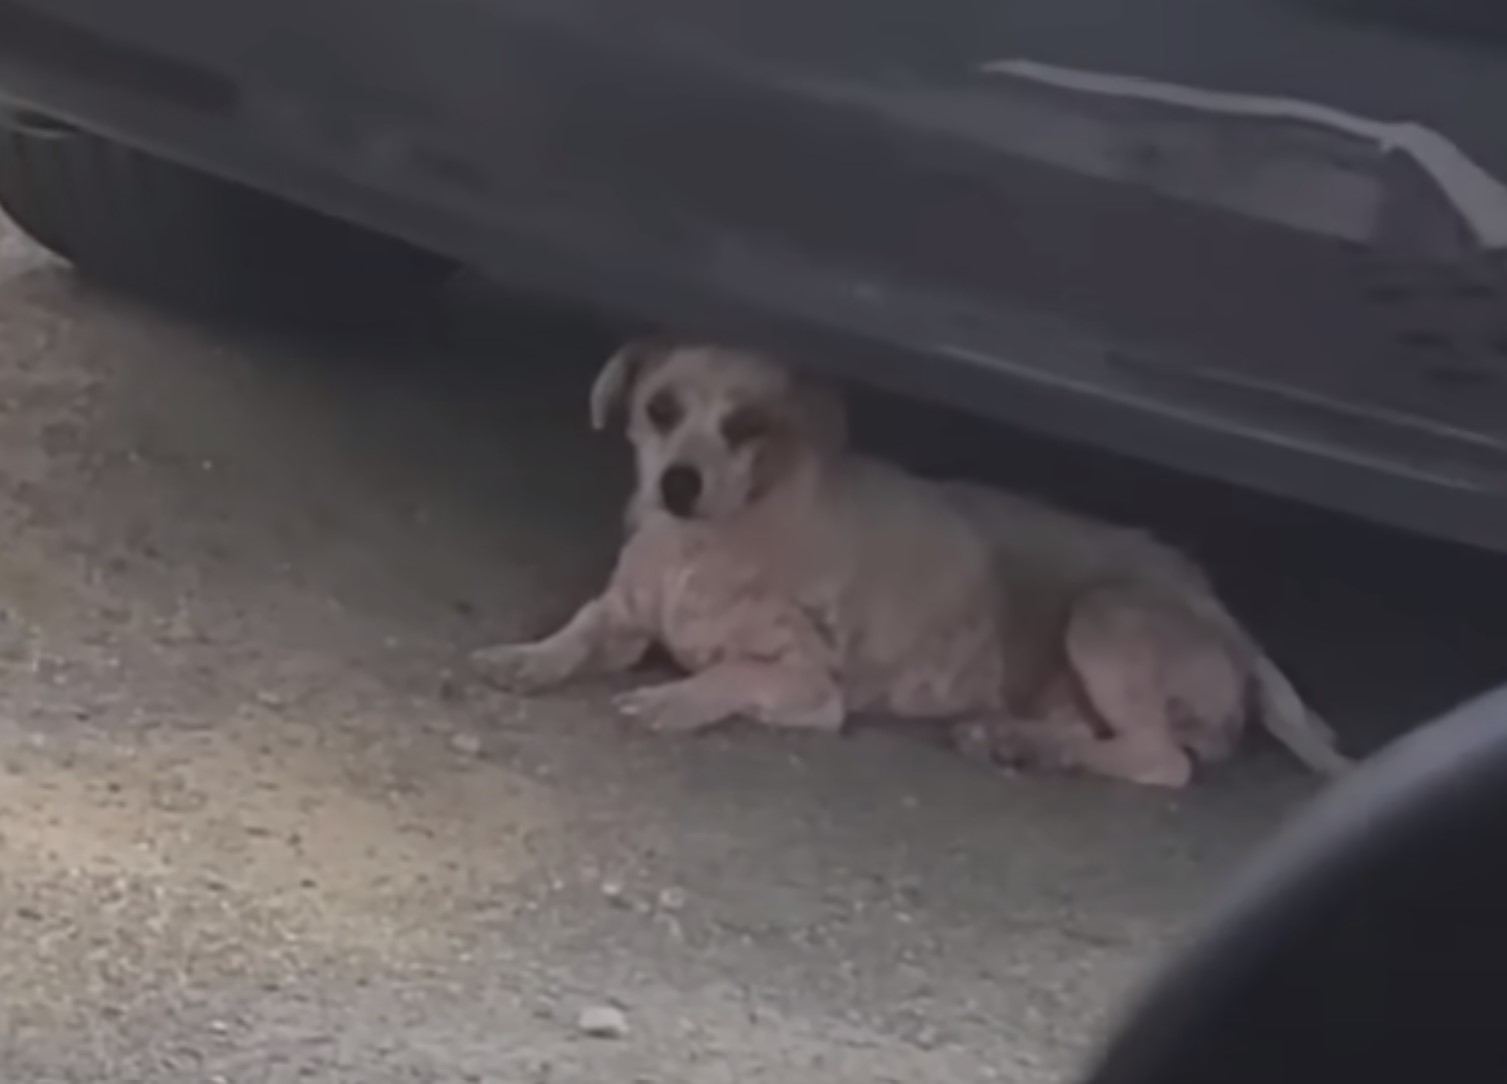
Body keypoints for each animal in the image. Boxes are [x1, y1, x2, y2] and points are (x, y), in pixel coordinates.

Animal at [476, 339, 1350, 790]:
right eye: (658, 409)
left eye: (748, 426)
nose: (677, 484)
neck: (704, 546)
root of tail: (1229, 621)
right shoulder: (623, 614)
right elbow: (579, 629)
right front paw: (527, 656)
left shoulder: (807, 685)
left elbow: (729, 676)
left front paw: (672, 698)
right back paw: (1014, 738)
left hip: (1108, 616)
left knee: (1161, 761)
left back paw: (1040, 750)